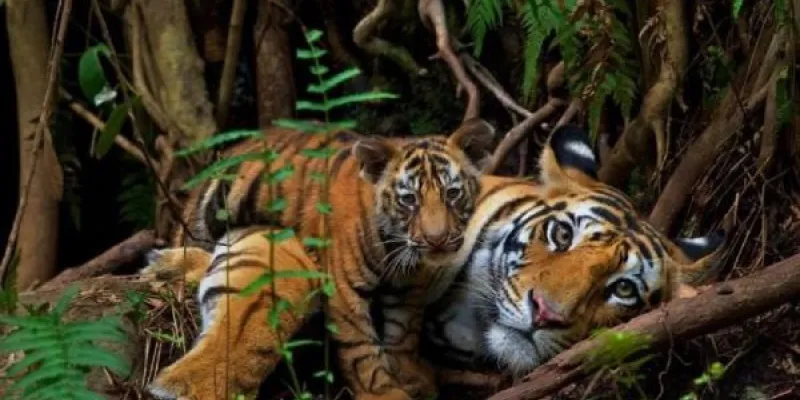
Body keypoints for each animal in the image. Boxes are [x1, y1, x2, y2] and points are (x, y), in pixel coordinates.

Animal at [142, 118, 497, 400]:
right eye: (409, 199)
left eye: (453, 193)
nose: (437, 239)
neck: (398, 247)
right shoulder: (344, 288)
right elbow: (360, 349)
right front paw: (383, 392)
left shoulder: (409, 287)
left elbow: (404, 331)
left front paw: (410, 375)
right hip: (207, 211)